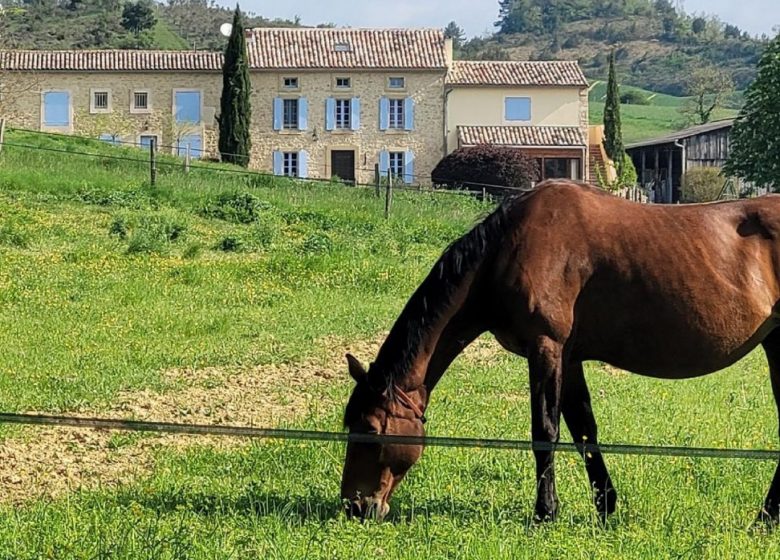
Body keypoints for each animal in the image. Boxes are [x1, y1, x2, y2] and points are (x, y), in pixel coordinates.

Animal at [342, 178, 780, 520]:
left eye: (371, 431)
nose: (355, 507)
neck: (509, 247)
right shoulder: (569, 358)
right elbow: (584, 429)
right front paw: (605, 508)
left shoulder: (546, 348)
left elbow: (545, 431)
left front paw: (545, 512)